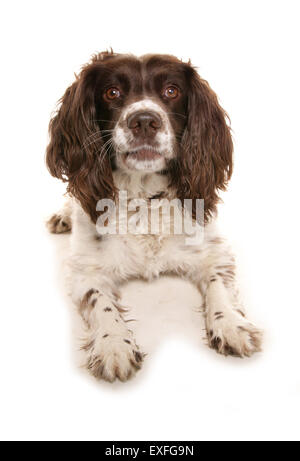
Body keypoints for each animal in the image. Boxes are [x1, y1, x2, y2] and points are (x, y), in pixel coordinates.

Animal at [45, 50, 262, 380]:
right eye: (112, 92)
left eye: (171, 91)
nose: (145, 121)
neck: (144, 201)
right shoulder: (86, 269)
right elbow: (100, 302)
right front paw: (113, 345)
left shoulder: (213, 249)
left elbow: (219, 285)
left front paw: (231, 325)